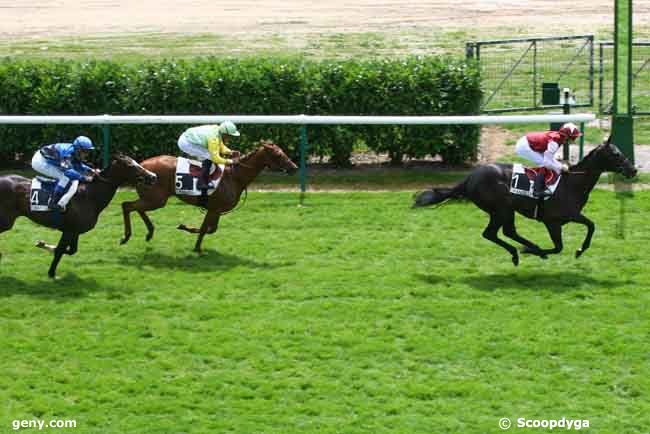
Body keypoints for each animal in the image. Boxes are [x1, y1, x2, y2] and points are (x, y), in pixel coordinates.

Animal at [0, 153, 157, 278]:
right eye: (131, 165)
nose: (153, 176)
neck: (90, 196)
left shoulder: (75, 231)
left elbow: (70, 251)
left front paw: (43, 244)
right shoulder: (68, 230)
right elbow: (60, 251)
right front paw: (51, 273)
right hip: (6, 222)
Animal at [120, 141, 298, 253]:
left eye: (283, 152)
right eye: (278, 155)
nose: (294, 167)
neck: (235, 177)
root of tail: (142, 166)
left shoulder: (216, 210)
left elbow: (210, 229)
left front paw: (185, 228)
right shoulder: (213, 209)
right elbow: (206, 229)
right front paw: (197, 248)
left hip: (152, 198)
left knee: (136, 207)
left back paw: (149, 232)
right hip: (157, 199)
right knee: (127, 206)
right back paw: (127, 236)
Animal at [412, 137, 636, 264]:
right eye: (616, 154)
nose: (633, 170)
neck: (572, 183)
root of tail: (470, 178)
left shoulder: (568, 217)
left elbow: (588, 227)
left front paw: (577, 250)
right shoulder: (554, 221)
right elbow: (565, 243)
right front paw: (575, 250)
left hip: (504, 210)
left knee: (504, 232)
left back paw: (525, 250)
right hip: (500, 209)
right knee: (493, 233)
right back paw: (524, 250)